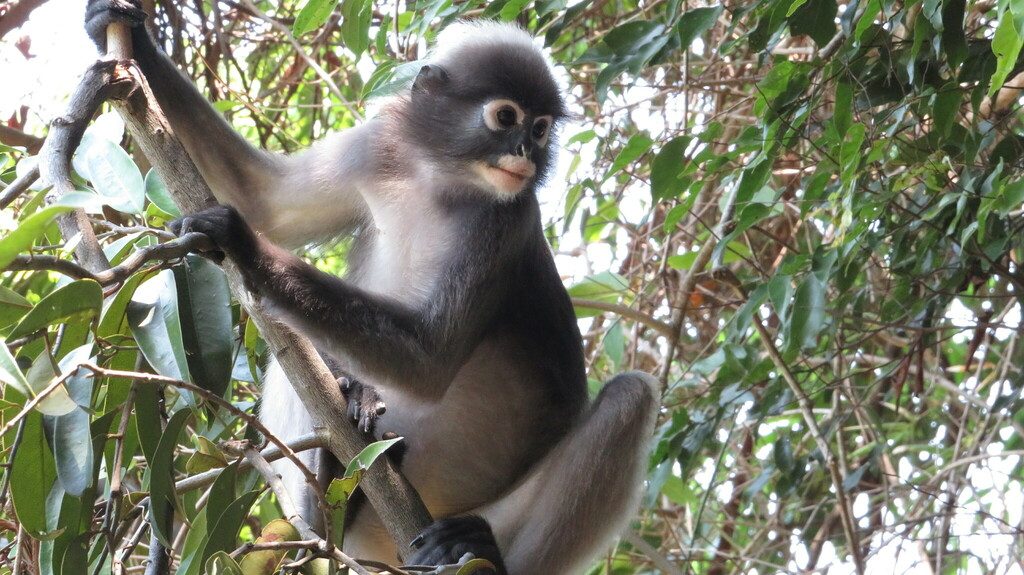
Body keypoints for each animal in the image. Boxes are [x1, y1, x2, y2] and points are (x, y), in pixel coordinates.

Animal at [85, 3, 659, 573]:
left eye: (540, 129)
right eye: (506, 118)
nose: (526, 151)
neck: (438, 180)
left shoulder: (506, 223)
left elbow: (430, 361)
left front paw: (244, 246)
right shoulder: (376, 148)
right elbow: (265, 201)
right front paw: (128, 34)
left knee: (630, 397)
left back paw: (477, 547)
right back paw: (329, 478)